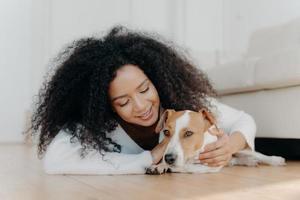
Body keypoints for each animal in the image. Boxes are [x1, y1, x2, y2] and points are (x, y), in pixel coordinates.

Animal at [145, 108, 286, 174]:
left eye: (188, 133)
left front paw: (171, 167)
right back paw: (247, 162)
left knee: (258, 155)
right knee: (235, 160)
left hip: (241, 150)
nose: (169, 158)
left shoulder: (211, 165)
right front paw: (159, 166)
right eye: (166, 132)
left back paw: (275, 160)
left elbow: (188, 167)